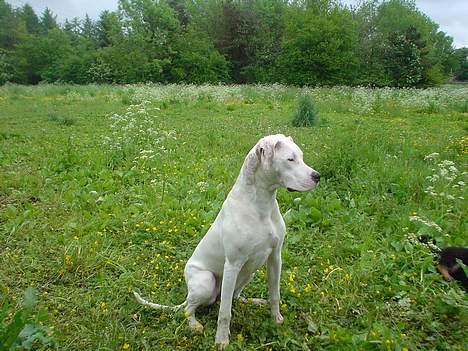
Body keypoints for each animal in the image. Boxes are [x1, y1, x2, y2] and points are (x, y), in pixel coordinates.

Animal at [133, 134, 320, 350]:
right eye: (290, 159)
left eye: (301, 156)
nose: (317, 176)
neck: (261, 204)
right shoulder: (232, 265)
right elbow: (225, 313)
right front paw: (221, 340)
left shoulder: (275, 258)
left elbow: (275, 294)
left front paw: (277, 319)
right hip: (206, 281)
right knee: (190, 308)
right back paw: (194, 324)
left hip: (249, 272)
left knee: (234, 297)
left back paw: (253, 301)